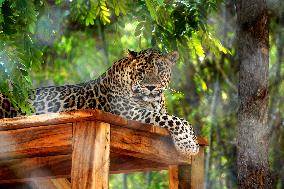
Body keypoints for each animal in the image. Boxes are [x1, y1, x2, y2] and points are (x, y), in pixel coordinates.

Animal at [0, 48, 199, 156]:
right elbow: (176, 120)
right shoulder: (130, 113)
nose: (150, 87)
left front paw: (193, 142)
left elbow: (181, 120)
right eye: (142, 70)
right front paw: (188, 145)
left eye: (160, 69)